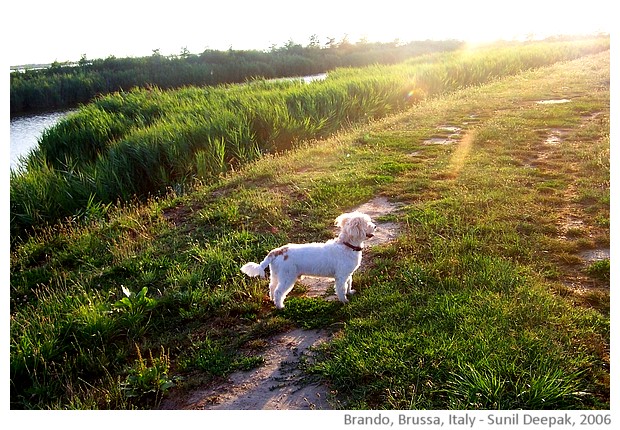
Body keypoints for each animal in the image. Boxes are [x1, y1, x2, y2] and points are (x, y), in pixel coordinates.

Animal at [240, 210, 376, 308]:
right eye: (366, 224)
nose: (374, 226)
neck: (347, 246)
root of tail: (277, 251)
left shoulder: (348, 274)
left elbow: (348, 284)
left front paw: (350, 292)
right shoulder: (341, 276)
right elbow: (341, 289)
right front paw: (344, 301)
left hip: (276, 275)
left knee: (272, 287)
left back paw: (273, 300)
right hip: (287, 277)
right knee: (279, 291)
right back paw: (280, 306)